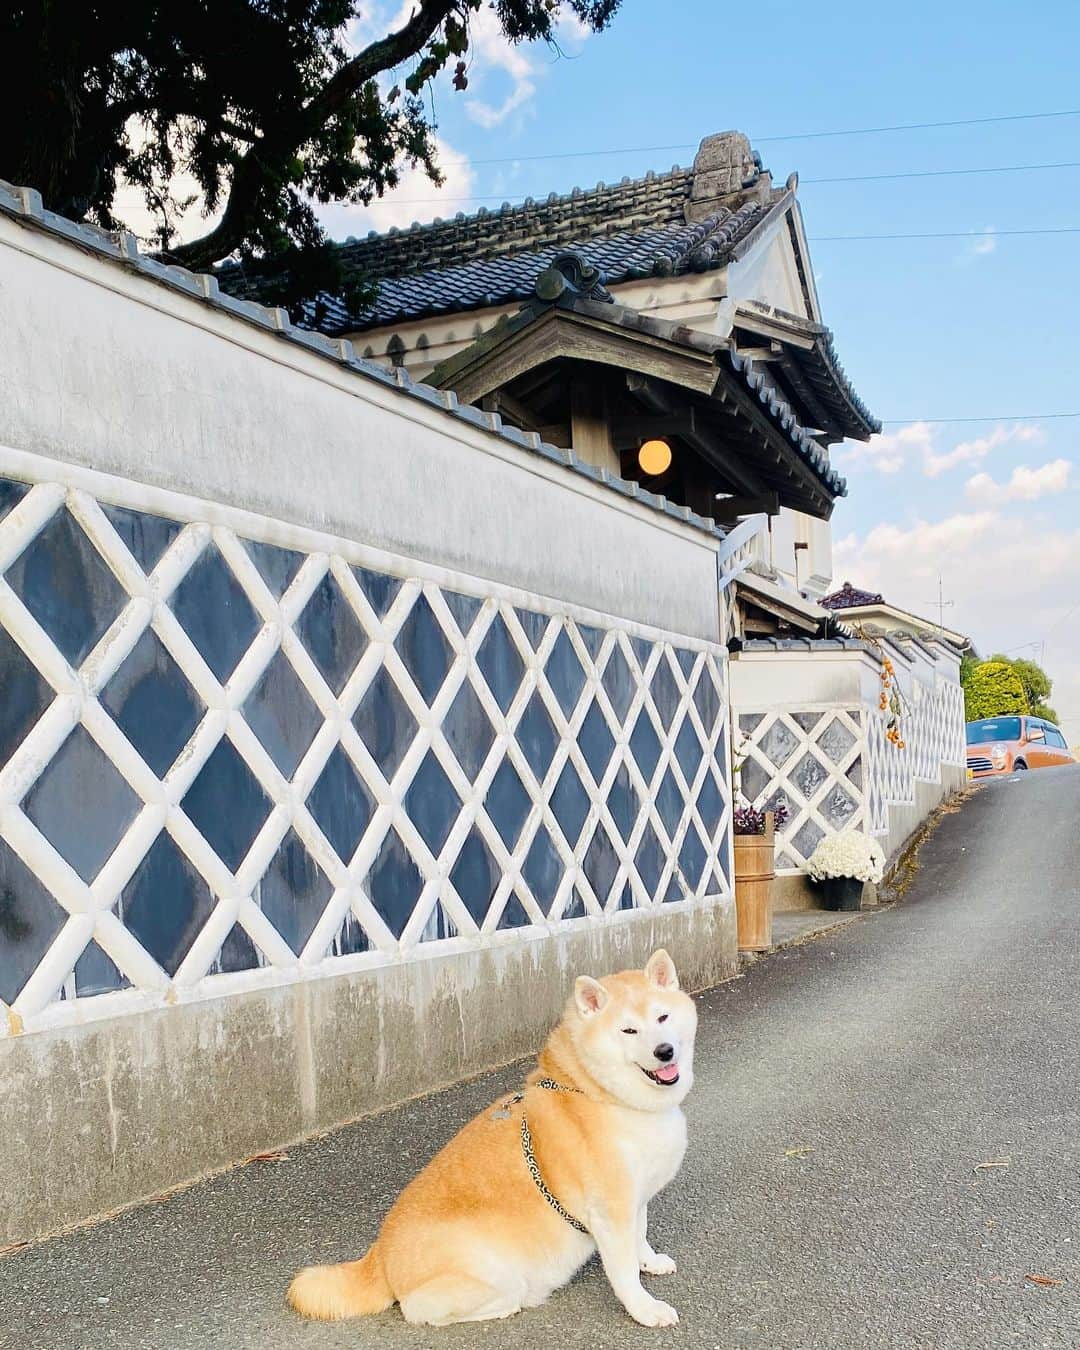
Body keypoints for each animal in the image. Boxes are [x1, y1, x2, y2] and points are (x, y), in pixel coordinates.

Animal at [286, 950, 696, 1328]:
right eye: (628, 1031)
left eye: (662, 1017)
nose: (664, 1051)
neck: (598, 1093)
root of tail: (379, 1255)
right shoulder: (610, 1209)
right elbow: (624, 1273)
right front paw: (645, 1309)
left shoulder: (634, 1197)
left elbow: (640, 1236)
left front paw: (649, 1261)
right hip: (493, 1271)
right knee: (423, 1310)